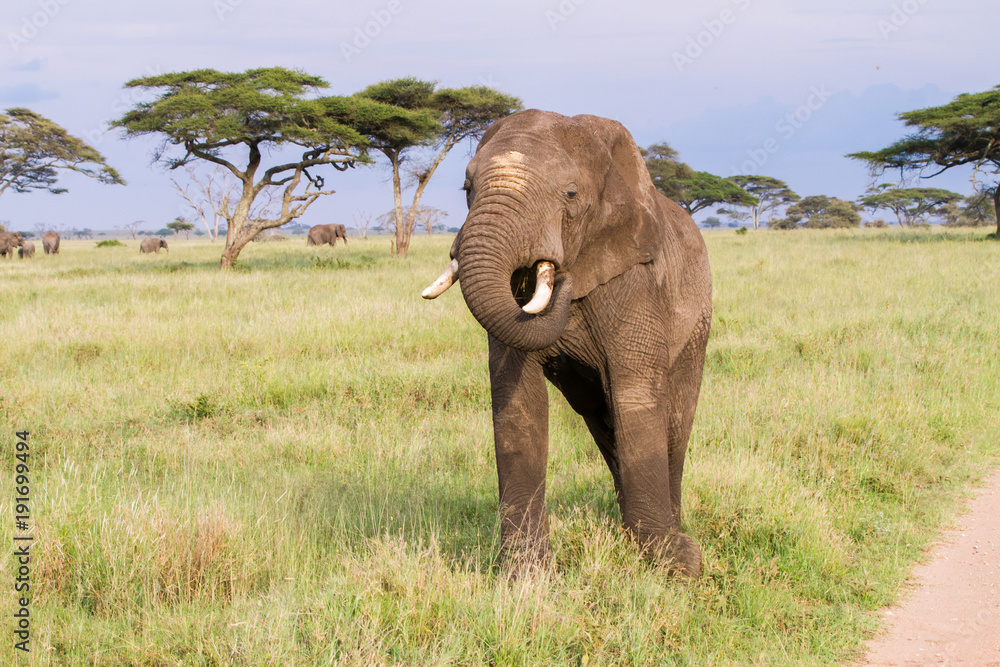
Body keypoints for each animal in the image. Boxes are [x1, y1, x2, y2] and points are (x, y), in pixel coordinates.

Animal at [422, 110, 712, 577]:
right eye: (467, 188)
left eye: (571, 194)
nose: (561, 274)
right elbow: (518, 402)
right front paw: (525, 575)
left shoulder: (636, 280)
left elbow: (636, 397)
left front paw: (678, 565)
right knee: (601, 418)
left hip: (697, 320)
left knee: (673, 418)